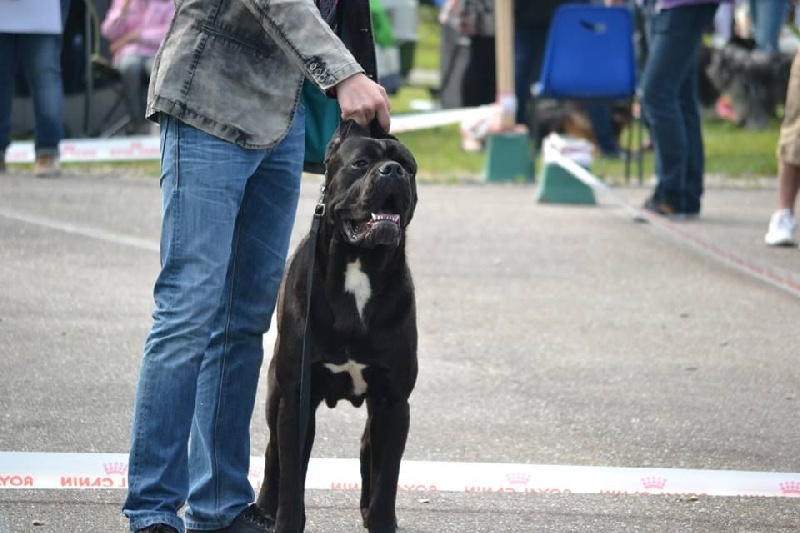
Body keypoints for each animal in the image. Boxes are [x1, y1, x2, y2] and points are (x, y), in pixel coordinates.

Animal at [256, 120, 418, 532]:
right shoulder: (296, 398)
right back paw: (263, 508)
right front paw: (287, 520)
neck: (360, 266)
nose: (392, 172)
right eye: (360, 164)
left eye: (409, 167)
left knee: (368, 450)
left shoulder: (394, 402)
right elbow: (291, 472)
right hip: (276, 393)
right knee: (273, 453)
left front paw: (381, 520)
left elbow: (388, 475)